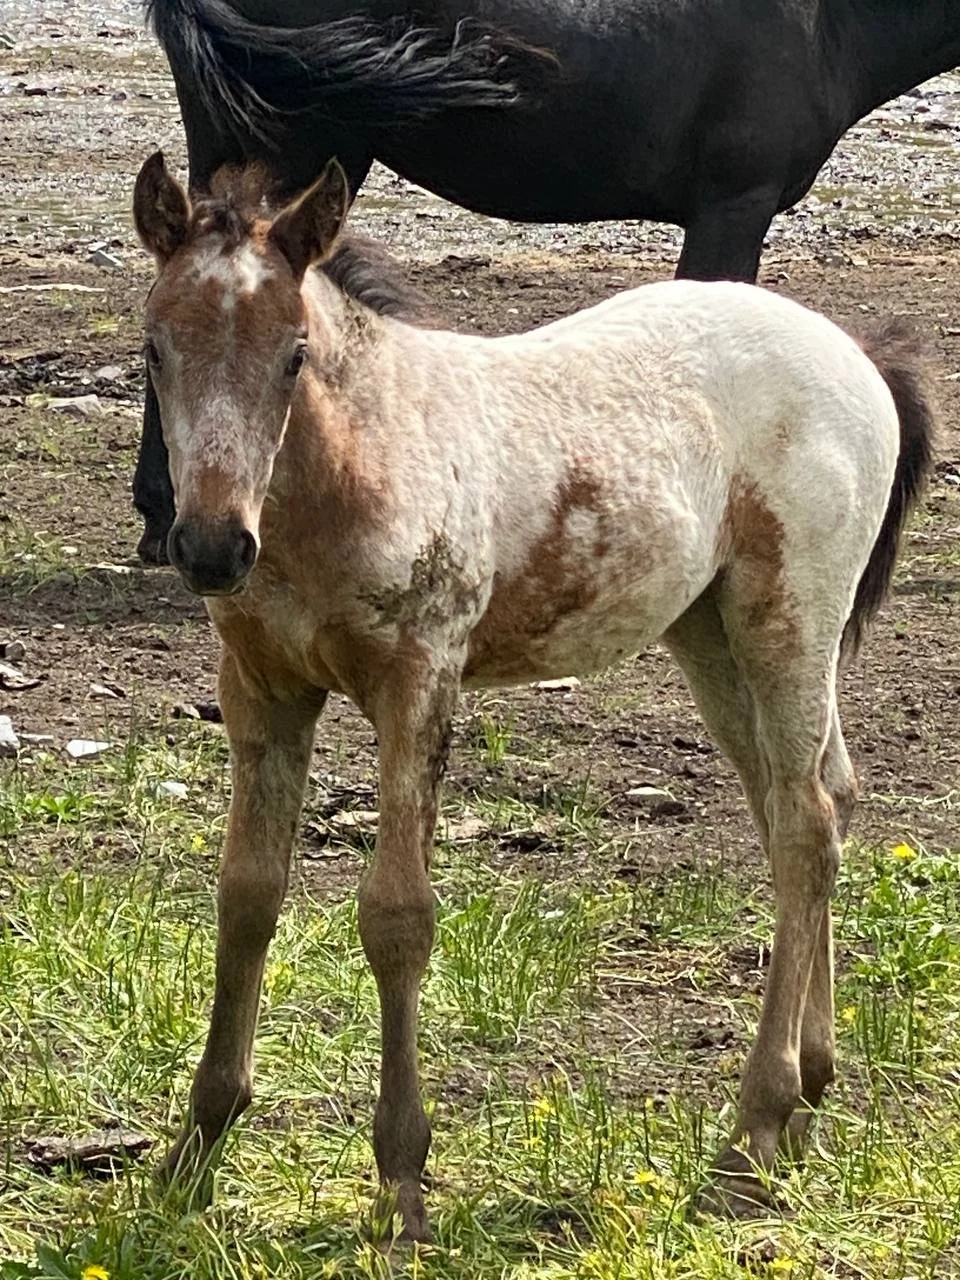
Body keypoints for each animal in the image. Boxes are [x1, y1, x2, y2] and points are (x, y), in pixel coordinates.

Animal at [133, 150, 934, 1240]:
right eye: (154, 349)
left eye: (294, 355)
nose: (212, 546)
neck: (350, 468)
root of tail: (856, 352)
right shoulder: (261, 692)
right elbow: (246, 897)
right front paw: (195, 1149)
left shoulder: (418, 679)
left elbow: (397, 916)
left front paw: (403, 1182)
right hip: (709, 634)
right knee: (811, 804)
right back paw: (808, 1096)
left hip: (790, 616)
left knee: (808, 824)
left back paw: (751, 1133)